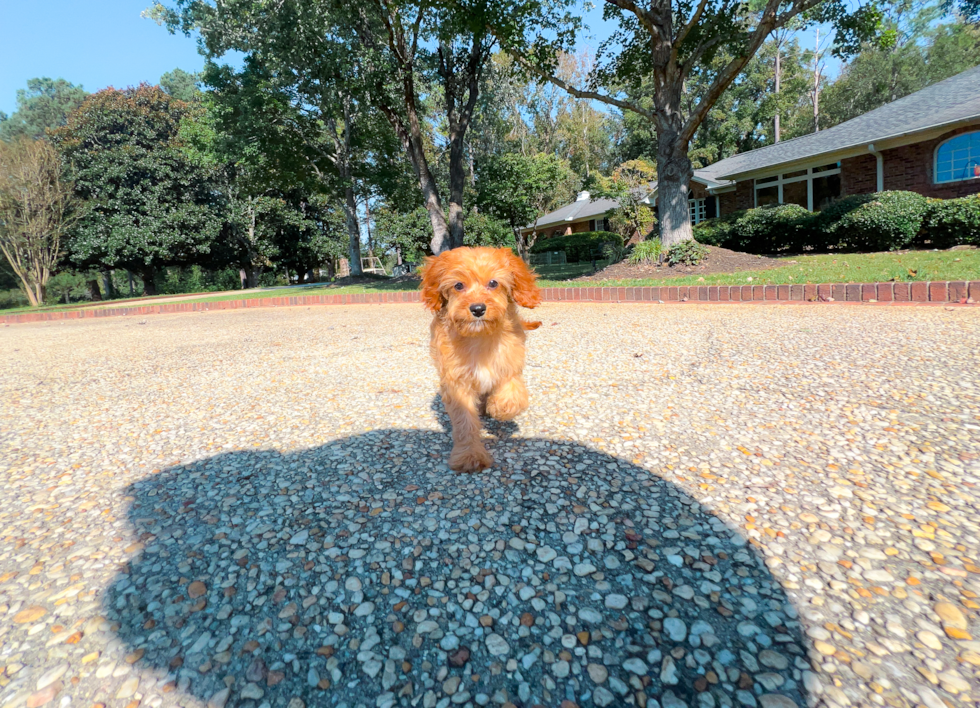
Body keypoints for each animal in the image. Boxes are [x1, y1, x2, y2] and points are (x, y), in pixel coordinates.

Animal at [422, 246, 544, 472]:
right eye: (458, 285)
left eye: (493, 283)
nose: (478, 309)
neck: (479, 337)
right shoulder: (456, 380)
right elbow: (465, 422)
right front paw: (469, 455)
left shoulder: (510, 359)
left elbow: (513, 391)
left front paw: (500, 407)